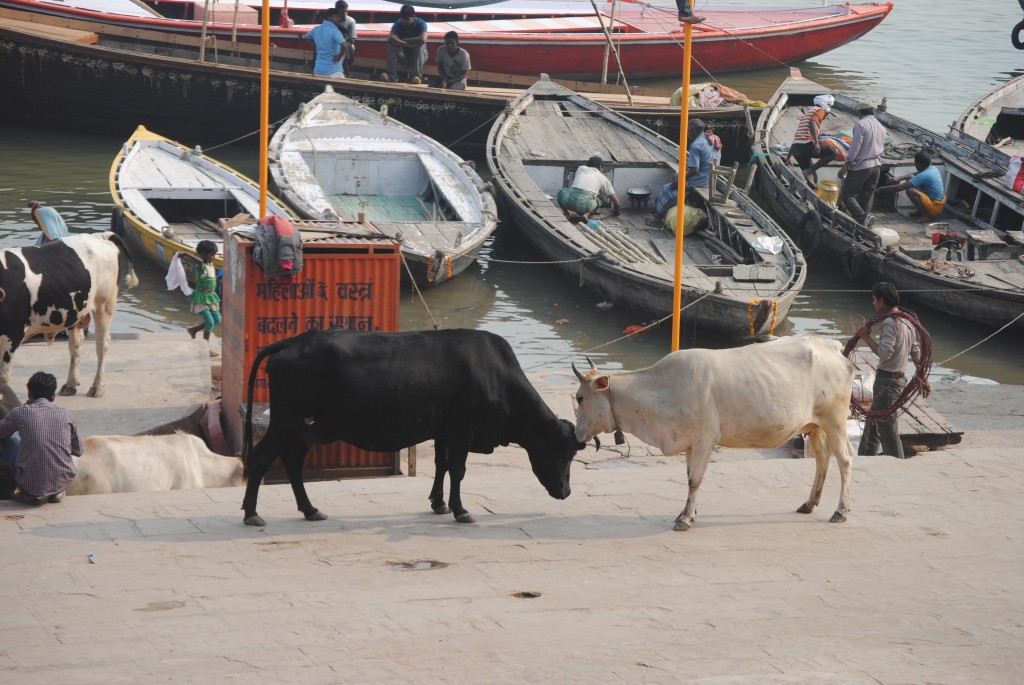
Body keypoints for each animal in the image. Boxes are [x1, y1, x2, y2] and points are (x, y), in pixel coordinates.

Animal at [0, 227, 139, 397]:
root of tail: (100, 236)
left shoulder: (13, 333)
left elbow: (3, 377)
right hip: (75, 312)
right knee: (76, 344)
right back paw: (71, 384)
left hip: (104, 303)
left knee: (102, 343)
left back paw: (97, 387)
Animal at [238, 327, 585, 528]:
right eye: (565, 453)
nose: (566, 492)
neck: (496, 373)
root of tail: (293, 341)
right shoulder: (464, 427)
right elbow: (458, 468)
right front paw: (460, 510)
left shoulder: (444, 430)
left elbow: (442, 465)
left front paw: (439, 503)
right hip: (286, 419)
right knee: (261, 457)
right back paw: (252, 513)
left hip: (301, 424)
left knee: (293, 458)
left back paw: (310, 509)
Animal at [577, 335, 856, 528]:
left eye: (579, 398)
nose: (577, 434)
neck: (663, 389)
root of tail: (832, 346)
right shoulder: (689, 443)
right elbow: (690, 476)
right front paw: (688, 513)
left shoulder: (704, 440)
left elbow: (694, 479)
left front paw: (685, 519)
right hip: (815, 425)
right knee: (822, 459)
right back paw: (809, 503)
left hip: (835, 421)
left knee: (844, 460)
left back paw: (840, 511)